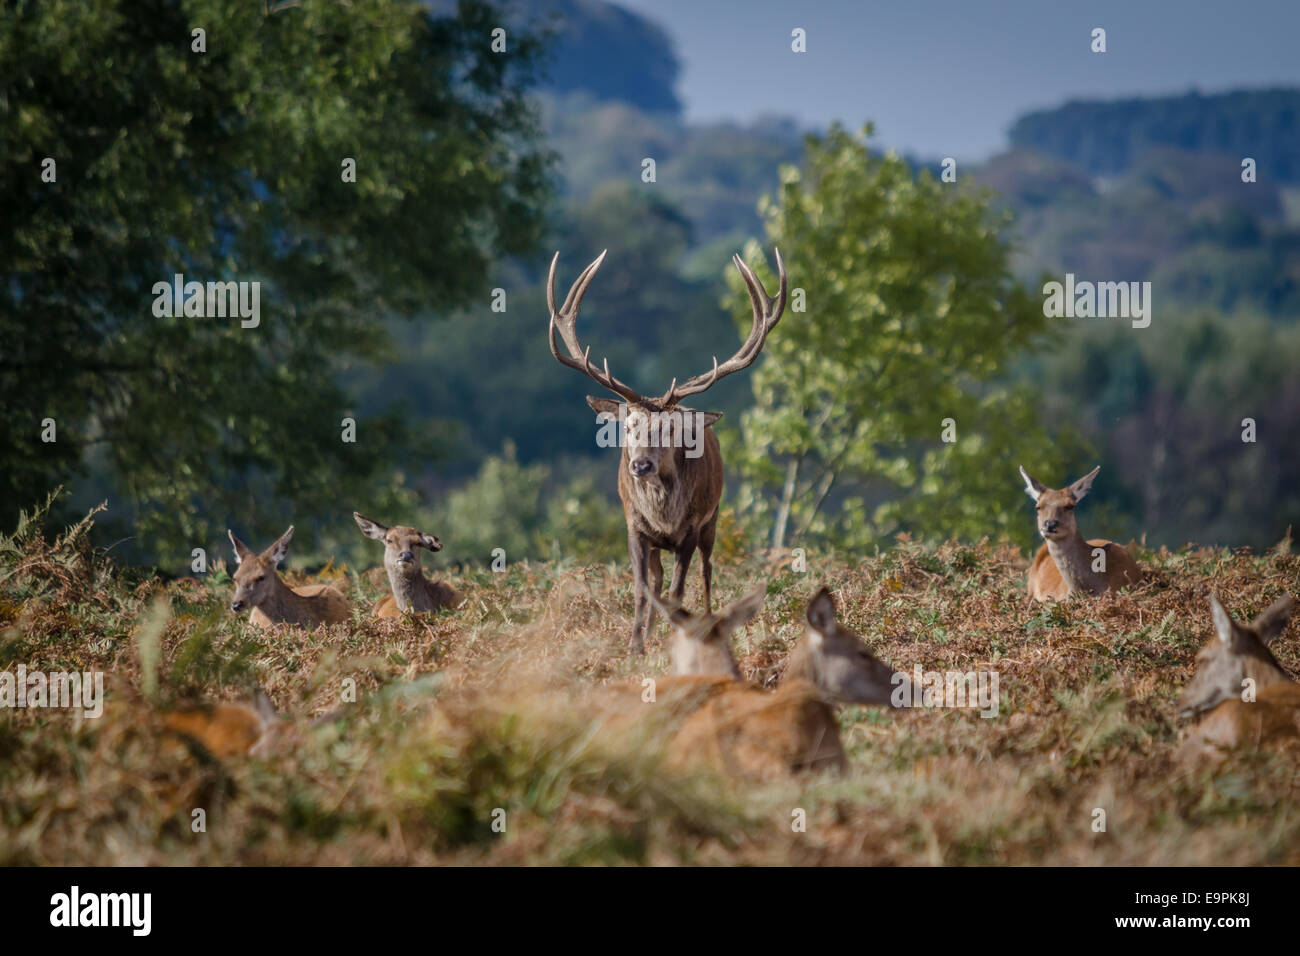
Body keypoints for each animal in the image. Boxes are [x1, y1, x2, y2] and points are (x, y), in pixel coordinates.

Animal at [546, 244, 785, 658]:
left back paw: (707, 619)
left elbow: (678, 591)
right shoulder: (634, 527)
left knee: (706, 571)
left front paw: (676, 639)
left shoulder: (690, 528)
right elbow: (643, 589)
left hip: (713, 519)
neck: (663, 518)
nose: (641, 465)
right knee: (657, 581)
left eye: (671, 429)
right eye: (627, 425)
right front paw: (635, 645)